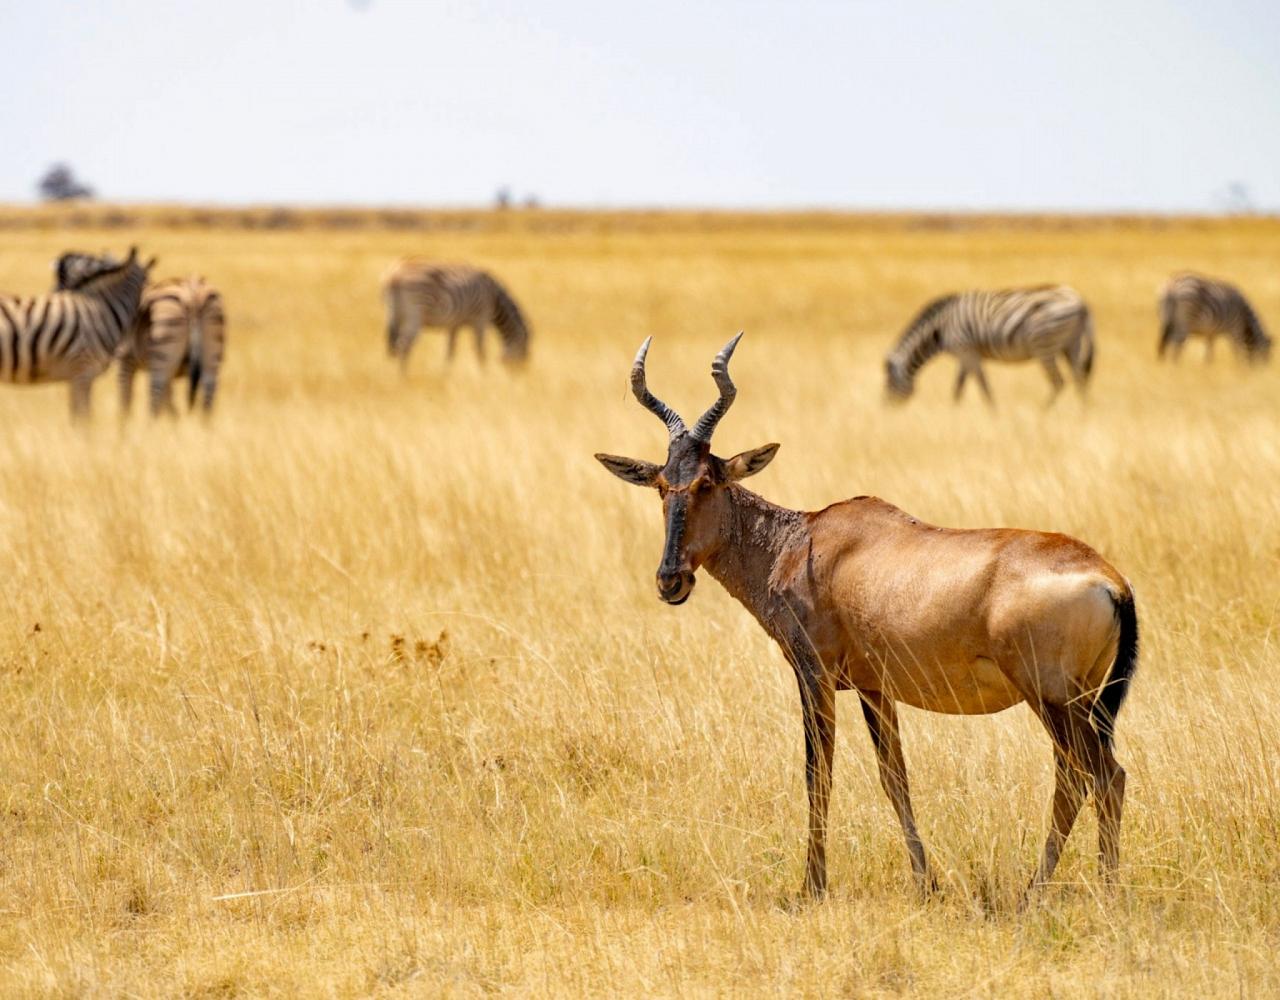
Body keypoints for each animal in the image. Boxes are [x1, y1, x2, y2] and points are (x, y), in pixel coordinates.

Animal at [118, 275, 227, 414]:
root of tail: (192, 294)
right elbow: (170, 405)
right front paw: (175, 419)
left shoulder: (126, 357)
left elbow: (125, 402)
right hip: (210, 357)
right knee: (207, 401)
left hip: (161, 358)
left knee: (155, 400)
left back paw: (151, 421)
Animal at [386, 259, 532, 371]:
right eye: (523, 354)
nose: (521, 375)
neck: (495, 300)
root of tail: (395, 276)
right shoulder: (480, 319)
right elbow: (480, 350)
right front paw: (484, 374)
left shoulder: (455, 324)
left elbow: (451, 351)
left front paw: (446, 373)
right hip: (415, 315)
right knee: (403, 346)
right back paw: (403, 377)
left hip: (394, 315)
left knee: (396, 345)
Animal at [885, 282, 1095, 404]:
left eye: (889, 382)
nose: (885, 408)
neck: (939, 330)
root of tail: (1080, 302)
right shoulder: (965, 355)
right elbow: (959, 388)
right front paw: (955, 414)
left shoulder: (966, 350)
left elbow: (982, 386)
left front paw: (993, 416)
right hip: (1071, 344)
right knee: (1079, 378)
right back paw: (1082, 414)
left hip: (1044, 346)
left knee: (1059, 382)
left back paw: (1042, 414)